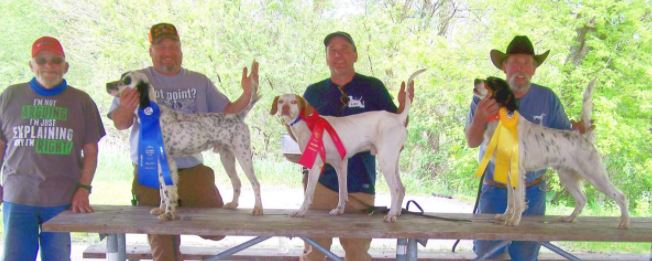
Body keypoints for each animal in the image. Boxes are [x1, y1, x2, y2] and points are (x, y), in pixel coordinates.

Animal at [272, 69, 428, 221]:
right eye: (281, 101)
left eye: (293, 102)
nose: (285, 107)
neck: (306, 124)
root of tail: (397, 118)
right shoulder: (341, 164)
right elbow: (342, 192)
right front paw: (339, 210)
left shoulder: (316, 165)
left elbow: (308, 194)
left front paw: (301, 211)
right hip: (392, 162)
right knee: (401, 188)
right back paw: (396, 213)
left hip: (385, 162)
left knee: (395, 190)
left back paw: (390, 216)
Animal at [476, 76, 628, 226]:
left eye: (491, 83)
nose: (476, 80)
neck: (502, 121)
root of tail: (584, 137)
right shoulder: (508, 173)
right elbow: (510, 200)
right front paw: (505, 216)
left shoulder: (517, 171)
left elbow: (518, 200)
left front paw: (514, 220)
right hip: (567, 176)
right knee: (582, 199)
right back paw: (569, 218)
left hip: (595, 175)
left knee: (621, 196)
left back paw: (624, 222)